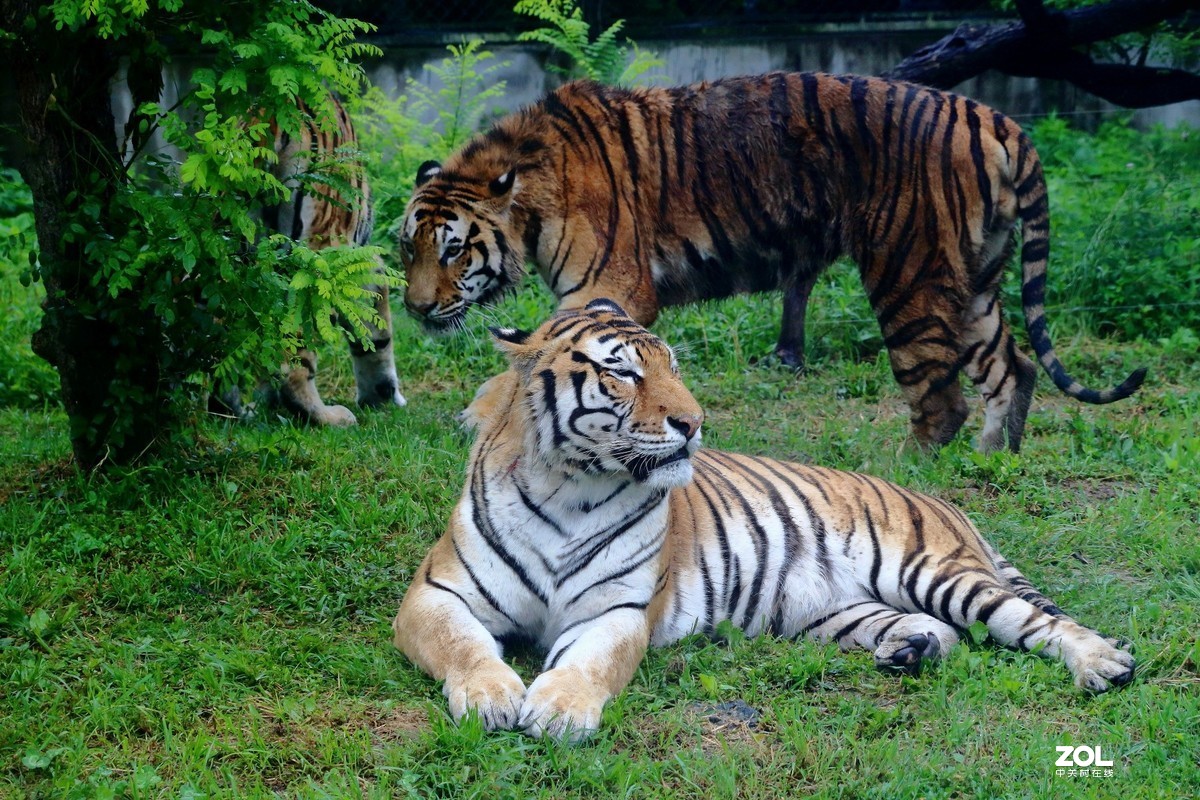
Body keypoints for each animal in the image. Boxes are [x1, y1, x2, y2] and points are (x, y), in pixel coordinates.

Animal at [391, 299, 1132, 743]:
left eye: (672, 367)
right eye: (623, 373)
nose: (693, 423)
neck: (568, 486)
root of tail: (945, 502)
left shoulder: (617, 611)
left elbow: (587, 663)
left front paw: (559, 710)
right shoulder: (436, 595)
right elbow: (464, 645)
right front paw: (491, 696)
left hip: (934, 571)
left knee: (1031, 621)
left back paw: (1105, 664)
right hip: (836, 611)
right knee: (942, 632)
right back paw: (910, 652)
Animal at [400, 71, 1142, 453]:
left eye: (454, 249)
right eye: (408, 247)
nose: (414, 308)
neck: (527, 189)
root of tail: (993, 115)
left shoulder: (605, 286)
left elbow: (536, 359)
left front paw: (481, 420)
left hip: (910, 270)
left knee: (941, 394)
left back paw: (912, 469)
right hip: (979, 275)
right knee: (1012, 367)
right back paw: (995, 460)